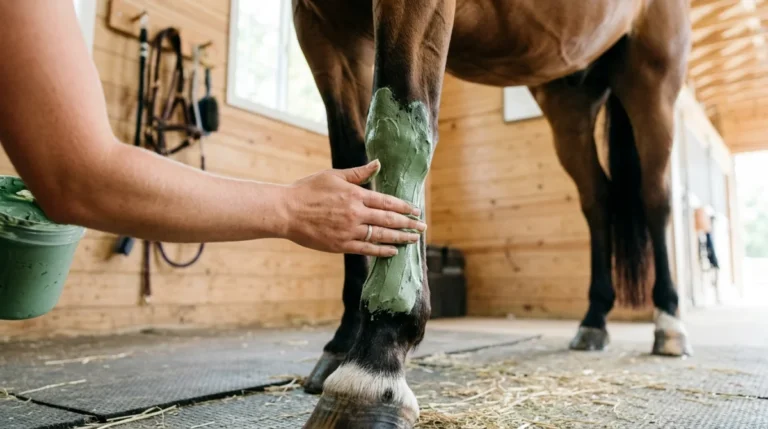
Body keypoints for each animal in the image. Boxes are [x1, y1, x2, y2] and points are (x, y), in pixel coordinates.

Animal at [292, 0, 691, 427]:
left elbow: (398, 132)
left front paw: (375, 362)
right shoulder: (322, 31)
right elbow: (352, 170)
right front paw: (343, 343)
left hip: (652, 83)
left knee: (656, 198)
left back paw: (669, 322)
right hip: (571, 103)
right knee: (597, 198)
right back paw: (593, 321)